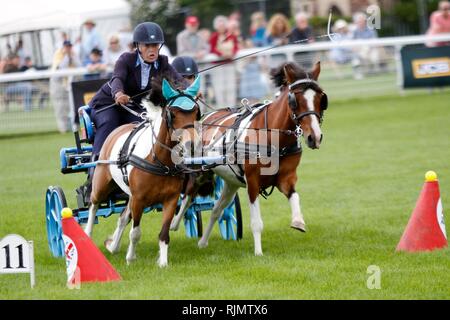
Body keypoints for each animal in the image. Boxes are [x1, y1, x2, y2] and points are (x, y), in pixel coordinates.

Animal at [85, 76, 200, 266]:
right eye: (173, 114)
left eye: (197, 112)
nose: (192, 145)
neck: (160, 161)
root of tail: (117, 129)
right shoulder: (138, 200)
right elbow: (135, 232)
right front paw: (130, 258)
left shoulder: (170, 199)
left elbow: (164, 233)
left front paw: (163, 262)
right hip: (101, 186)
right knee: (94, 206)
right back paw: (87, 236)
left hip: (129, 194)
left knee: (123, 217)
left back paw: (113, 246)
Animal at [171, 60, 328, 255]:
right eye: (295, 101)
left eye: (321, 99)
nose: (315, 137)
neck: (272, 137)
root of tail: (207, 117)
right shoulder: (252, 182)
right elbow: (256, 222)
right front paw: (258, 252)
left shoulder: (286, 177)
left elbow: (294, 196)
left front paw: (298, 221)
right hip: (200, 172)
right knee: (188, 197)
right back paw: (175, 223)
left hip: (231, 181)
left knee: (217, 209)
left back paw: (202, 242)